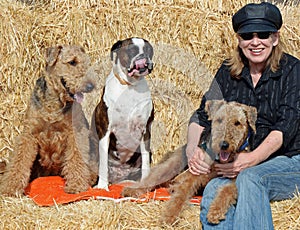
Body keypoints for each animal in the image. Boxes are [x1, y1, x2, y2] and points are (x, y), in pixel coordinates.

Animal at [93, 37, 155, 190]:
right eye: (131, 50)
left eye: (148, 49)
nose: (142, 56)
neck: (130, 86)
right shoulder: (105, 132)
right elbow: (103, 164)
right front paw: (102, 187)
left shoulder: (145, 131)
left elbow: (146, 162)